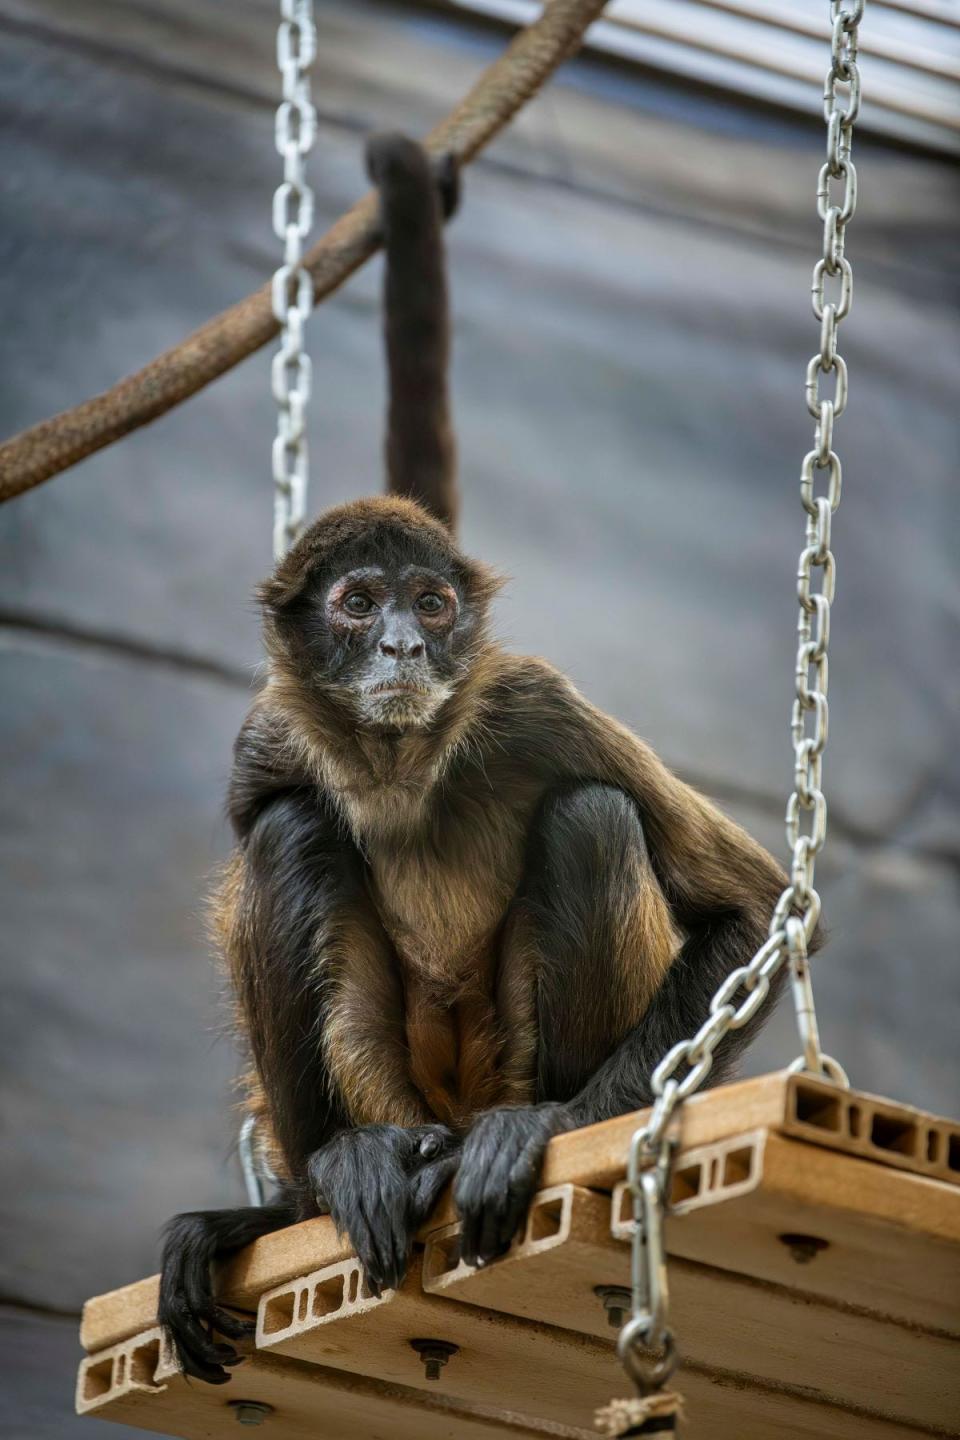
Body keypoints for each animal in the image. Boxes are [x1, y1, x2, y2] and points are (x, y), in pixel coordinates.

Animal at [161, 135, 794, 1382]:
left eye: (434, 604)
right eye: (360, 605)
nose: (407, 645)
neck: (405, 765)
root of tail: (442, 1111)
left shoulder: (531, 702)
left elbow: (757, 909)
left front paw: (548, 1129)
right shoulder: (268, 733)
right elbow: (264, 831)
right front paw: (291, 1198)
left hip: (503, 1047)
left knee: (591, 817)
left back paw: (506, 1130)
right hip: (395, 1071)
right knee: (290, 833)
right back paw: (343, 1174)